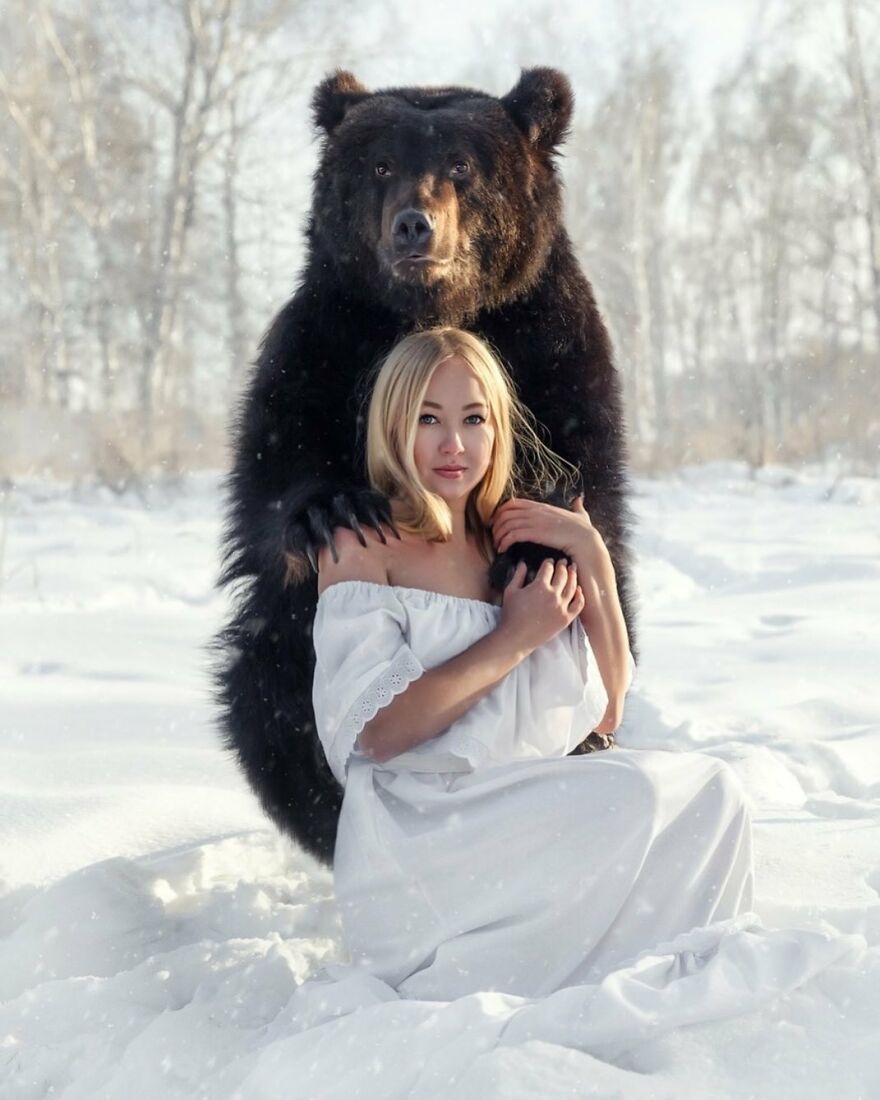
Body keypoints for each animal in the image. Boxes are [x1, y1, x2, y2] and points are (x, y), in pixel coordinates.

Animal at [214, 67, 638, 868]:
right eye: (380, 165)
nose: (416, 225)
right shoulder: (326, 335)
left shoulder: (547, 340)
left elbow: (586, 478)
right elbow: (274, 463)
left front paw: (531, 547)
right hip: (280, 653)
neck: (430, 313)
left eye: (463, 166)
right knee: (269, 690)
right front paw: (336, 506)